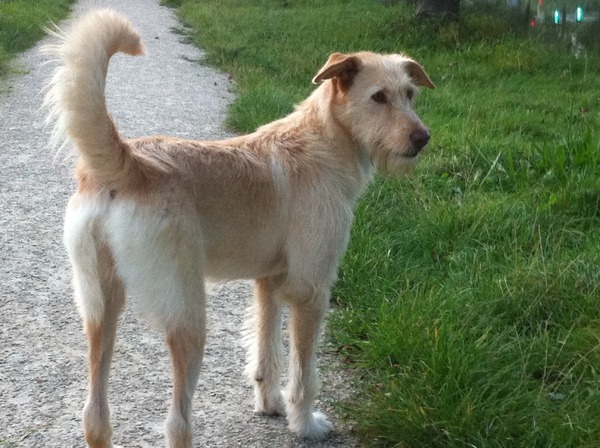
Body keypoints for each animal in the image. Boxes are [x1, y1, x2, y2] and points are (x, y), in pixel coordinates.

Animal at [44, 8, 434, 448]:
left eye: (410, 94)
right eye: (378, 97)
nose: (423, 138)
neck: (322, 141)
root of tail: (127, 163)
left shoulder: (269, 283)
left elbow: (266, 353)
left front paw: (269, 404)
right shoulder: (310, 292)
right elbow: (303, 375)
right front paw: (304, 423)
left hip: (99, 308)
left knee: (94, 417)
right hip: (188, 318)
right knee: (177, 423)